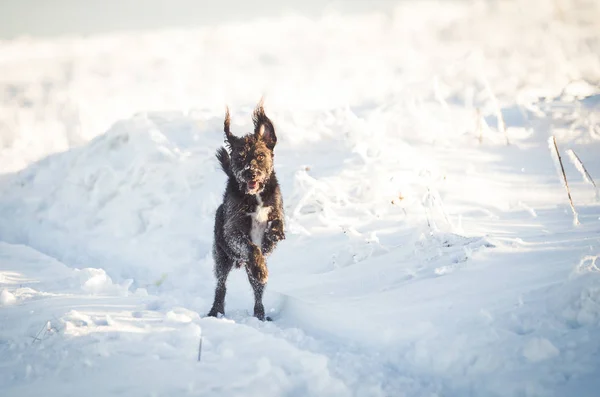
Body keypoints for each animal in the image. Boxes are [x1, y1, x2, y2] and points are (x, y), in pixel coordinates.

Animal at [207, 101, 284, 318]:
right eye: (240, 158)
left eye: (260, 155)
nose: (251, 173)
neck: (254, 196)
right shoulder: (233, 231)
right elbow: (251, 247)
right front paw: (260, 265)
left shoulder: (277, 209)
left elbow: (278, 222)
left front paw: (274, 235)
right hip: (222, 256)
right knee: (221, 285)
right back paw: (216, 311)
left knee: (258, 292)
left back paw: (260, 315)